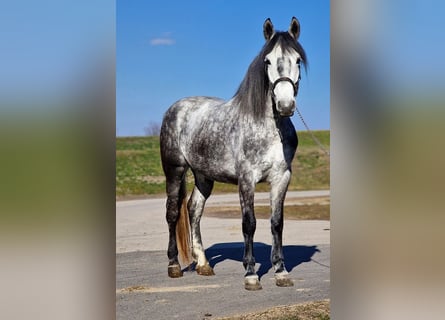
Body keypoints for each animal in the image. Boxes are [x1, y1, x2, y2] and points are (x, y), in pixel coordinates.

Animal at [161, 16, 306, 290]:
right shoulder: (246, 179)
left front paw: (281, 272)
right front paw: (250, 274)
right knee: (173, 213)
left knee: (194, 209)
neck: (269, 128)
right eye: (267, 61)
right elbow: (249, 223)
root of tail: (176, 108)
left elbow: (277, 223)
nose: (285, 105)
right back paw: (173, 266)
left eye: (298, 60)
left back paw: (203, 264)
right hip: (174, 170)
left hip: (204, 176)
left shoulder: (282, 178)